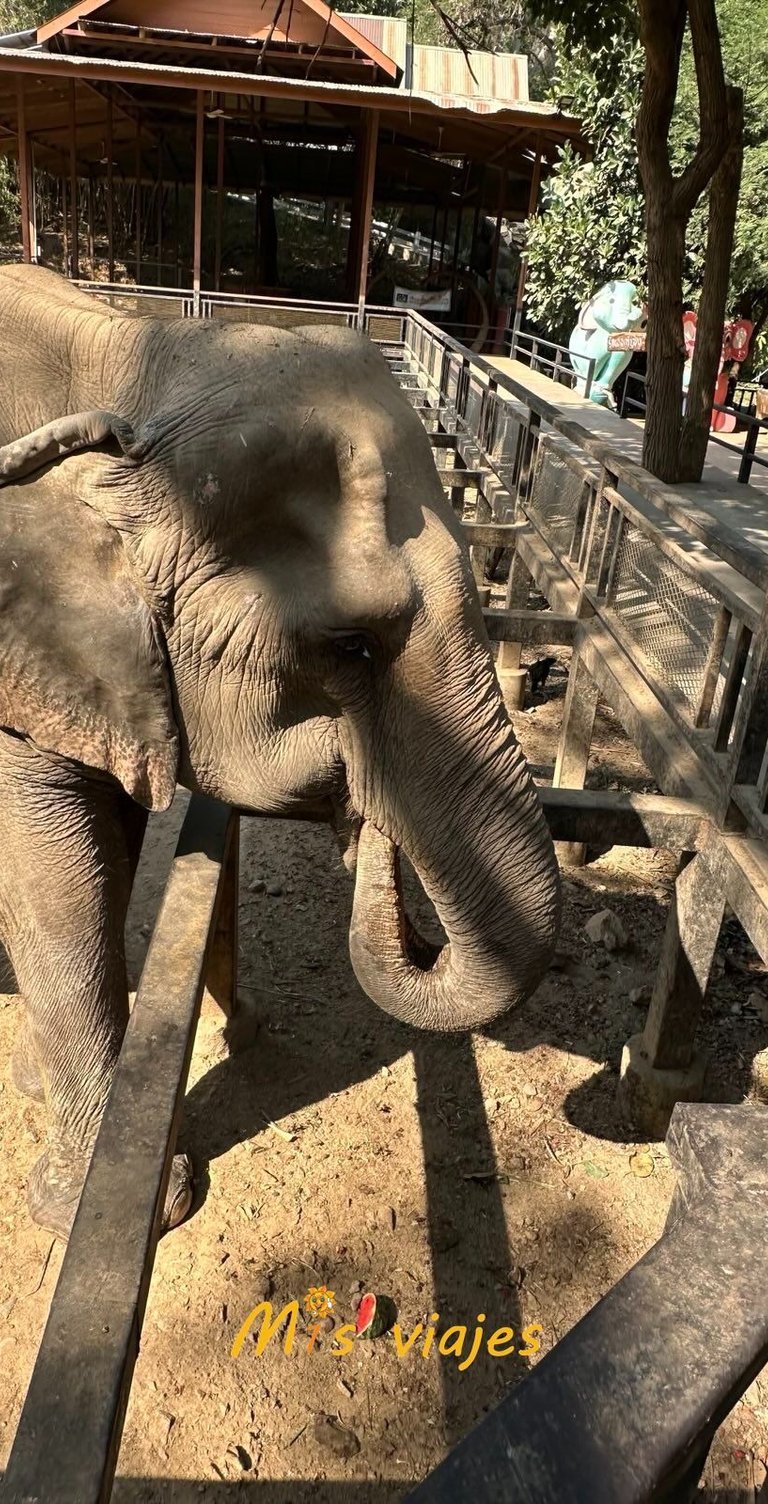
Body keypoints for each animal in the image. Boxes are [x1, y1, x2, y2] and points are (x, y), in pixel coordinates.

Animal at [0, 265, 560, 1240]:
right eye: (352, 647)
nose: (369, 817)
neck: (135, 356)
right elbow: (52, 877)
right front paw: (109, 1213)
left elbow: (107, 842)